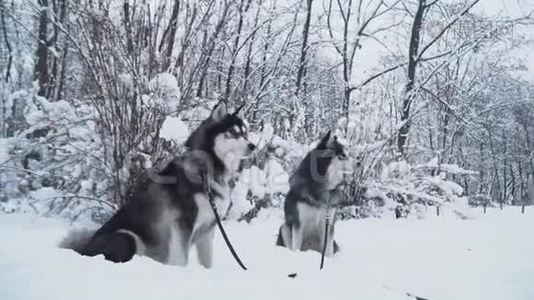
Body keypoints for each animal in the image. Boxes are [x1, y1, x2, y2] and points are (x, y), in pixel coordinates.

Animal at [68, 101, 256, 268]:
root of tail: (83, 250)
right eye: (233, 132)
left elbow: (207, 262)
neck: (207, 171)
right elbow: (181, 260)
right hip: (128, 237)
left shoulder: (208, 229)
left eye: (245, 133)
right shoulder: (183, 225)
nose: (253, 146)